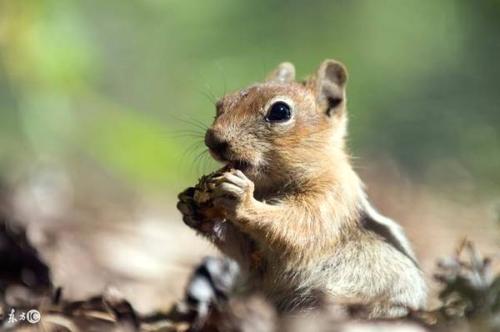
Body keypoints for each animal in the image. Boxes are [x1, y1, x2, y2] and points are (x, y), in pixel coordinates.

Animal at [176, 59, 426, 320]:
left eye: (280, 111)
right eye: (220, 104)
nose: (212, 140)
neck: (268, 188)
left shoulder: (331, 197)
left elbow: (300, 225)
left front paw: (241, 197)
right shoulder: (257, 257)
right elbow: (244, 250)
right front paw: (191, 208)